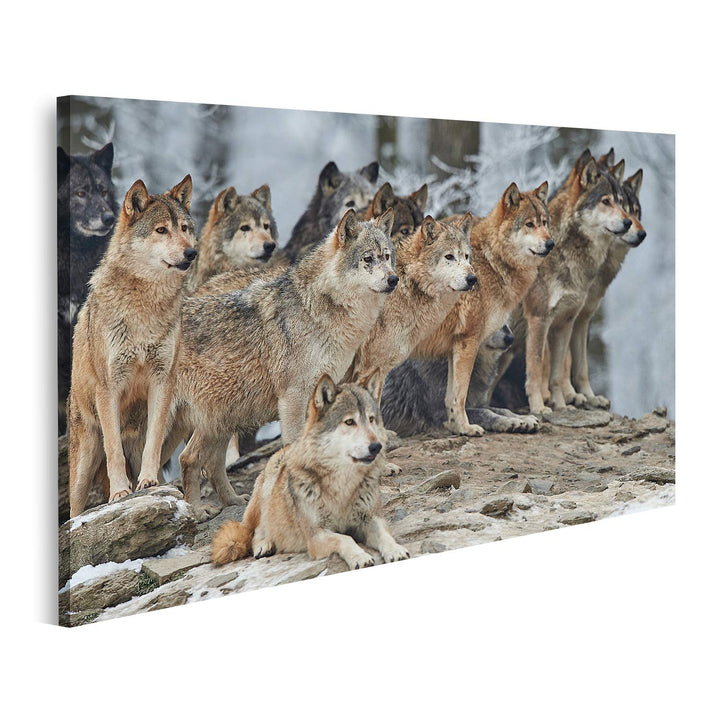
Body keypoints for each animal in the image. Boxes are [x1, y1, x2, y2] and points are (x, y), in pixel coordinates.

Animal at [67, 175, 197, 517]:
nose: (191, 252)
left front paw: (149, 482)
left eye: (184, 228)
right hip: (83, 462)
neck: (144, 307)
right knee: (74, 510)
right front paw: (120, 493)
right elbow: (114, 450)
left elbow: (153, 441)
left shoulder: (163, 380)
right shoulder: (109, 386)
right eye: (161, 230)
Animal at [167, 209, 397, 519]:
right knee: (186, 459)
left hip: (221, 417)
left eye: (386, 256)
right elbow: (294, 445)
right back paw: (194, 512)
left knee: (204, 461)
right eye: (368, 259)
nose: (394, 279)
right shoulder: (293, 398)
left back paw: (232, 501)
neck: (319, 308)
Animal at [211, 372, 409, 569]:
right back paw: (263, 545)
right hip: (268, 489)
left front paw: (396, 550)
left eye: (371, 419)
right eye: (349, 422)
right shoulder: (316, 536)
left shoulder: (371, 519)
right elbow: (345, 538)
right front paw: (360, 557)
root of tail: (285, 448)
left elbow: (384, 535)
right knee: (256, 530)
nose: (376, 446)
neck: (342, 485)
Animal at [411, 181, 553, 436]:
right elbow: (461, 395)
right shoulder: (469, 341)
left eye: (545, 222)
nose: (550, 244)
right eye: (529, 224)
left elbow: (453, 397)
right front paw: (466, 427)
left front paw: (456, 426)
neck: (493, 261)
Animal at [522, 151, 632, 415]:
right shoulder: (540, 320)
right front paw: (539, 407)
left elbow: (566, 370)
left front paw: (564, 405)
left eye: (621, 202)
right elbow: (538, 370)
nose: (629, 223)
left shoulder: (572, 320)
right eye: (605, 201)